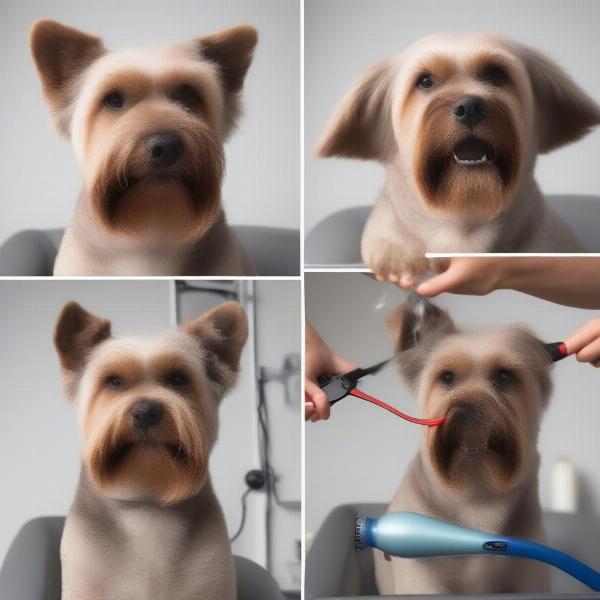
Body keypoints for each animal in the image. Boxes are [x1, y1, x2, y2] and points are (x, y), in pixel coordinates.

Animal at [376, 298, 552, 596]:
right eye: (447, 377)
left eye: (504, 375)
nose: (467, 411)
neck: (477, 495)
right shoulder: (421, 577)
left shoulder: (531, 574)